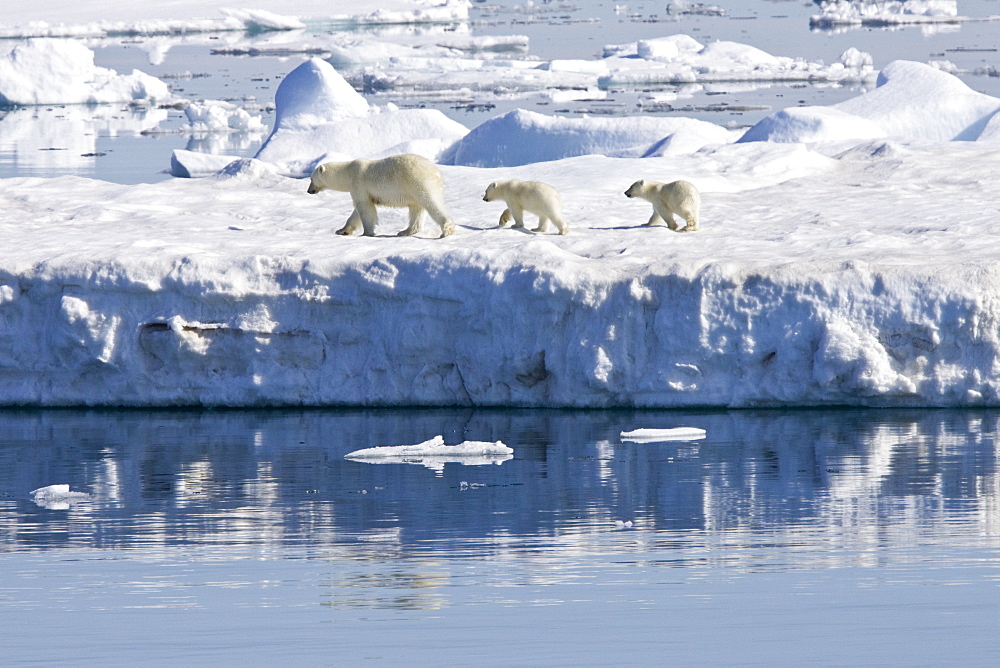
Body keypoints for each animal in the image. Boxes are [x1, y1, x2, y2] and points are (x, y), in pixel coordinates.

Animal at [306, 154, 456, 237]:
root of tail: (436, 172)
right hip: (413, 189)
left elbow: (365, 209)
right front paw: (341, 230)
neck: (348, 172)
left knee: (431, 203)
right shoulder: (361, 191)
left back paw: (447, 230)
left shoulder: (359, 184)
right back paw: (405, 231)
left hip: (417, 182)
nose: (309, 191)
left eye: (311, 179)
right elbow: (356, 213)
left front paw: (367, 233)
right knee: (416, 209)